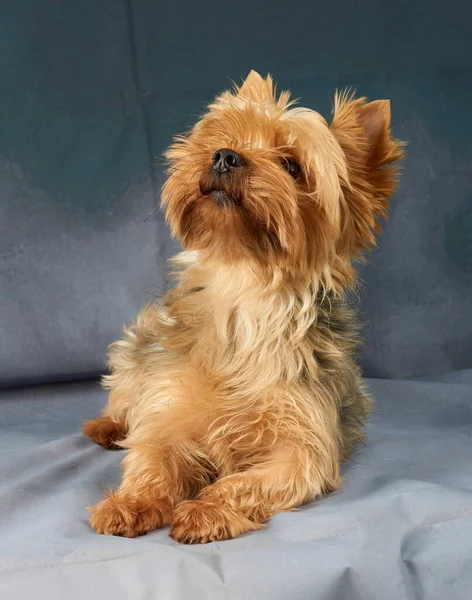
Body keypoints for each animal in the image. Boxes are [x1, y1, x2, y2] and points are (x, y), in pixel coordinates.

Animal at [83, 71, 404, 544]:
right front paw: (132, 502)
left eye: (292, 166)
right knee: (124, 390)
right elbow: (151, 459)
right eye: (224, 140)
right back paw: (106, 426)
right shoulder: (166, 410)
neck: (243, 289)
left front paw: (207, 510)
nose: (224, 156)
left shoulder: (302, 445)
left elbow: (247, 481)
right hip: (136, 345)